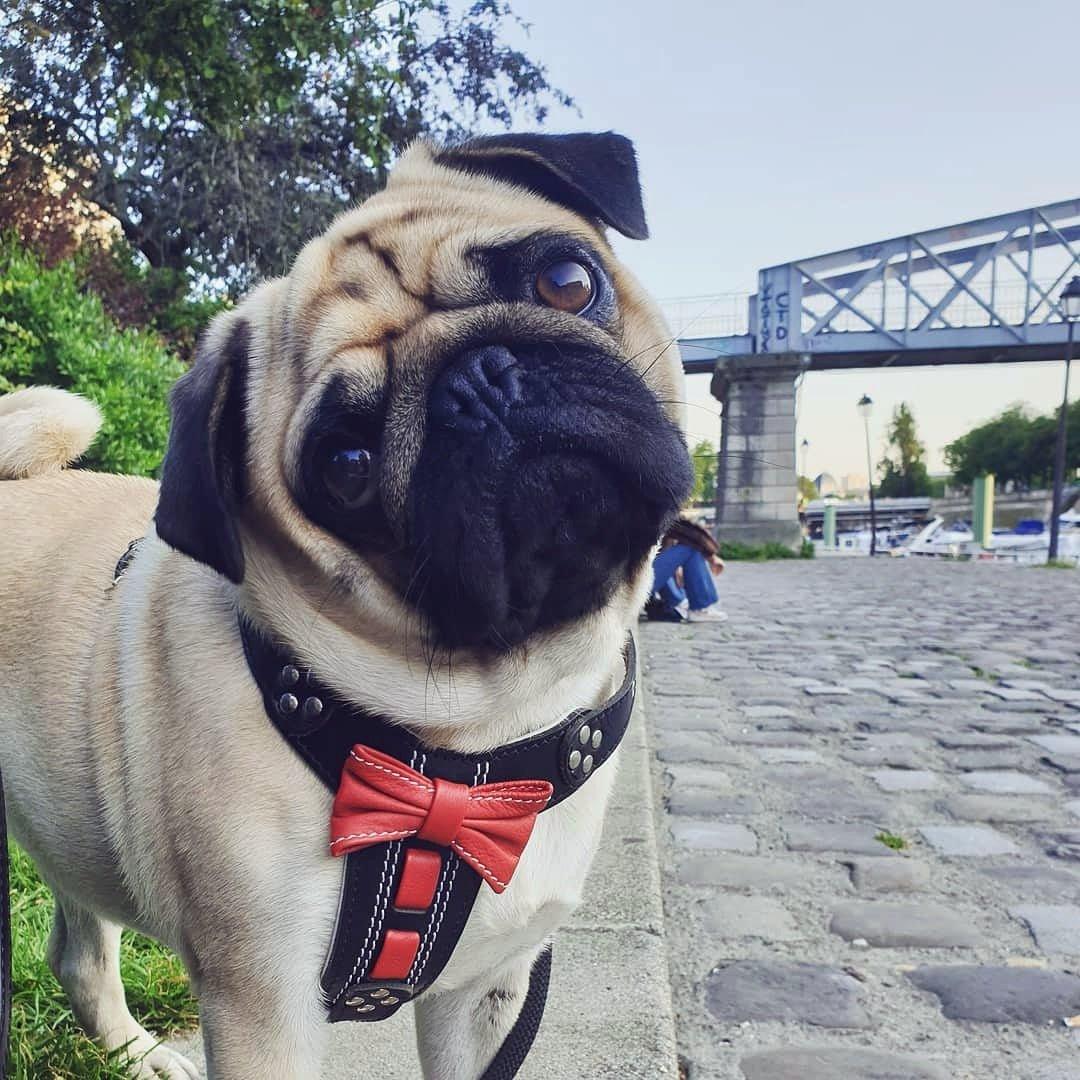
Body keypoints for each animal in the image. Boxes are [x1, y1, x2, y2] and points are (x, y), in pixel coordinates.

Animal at [0, 130, 691, 1075]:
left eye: (565, 282)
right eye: (348, 468)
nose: (476, 384)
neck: (467, 745)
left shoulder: (490, 994)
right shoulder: (264, 1006)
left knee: (77, 950)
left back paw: (135, 1053)